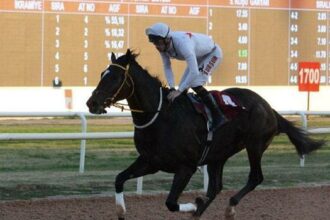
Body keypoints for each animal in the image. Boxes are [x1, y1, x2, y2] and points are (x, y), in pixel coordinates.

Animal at [85, 49, 324, 219]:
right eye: (102, 74)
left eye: (115, 77)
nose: (92, 103)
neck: (161, 117)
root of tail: (268, 107)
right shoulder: (150, 161)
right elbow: (119, 178)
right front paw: (120, 211)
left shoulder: (186, 167)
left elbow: (171, 203)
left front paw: (194, 205)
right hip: (218, 155)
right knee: (216, 186)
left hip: (255, 145)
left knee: (255, 177)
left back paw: (228, 208)